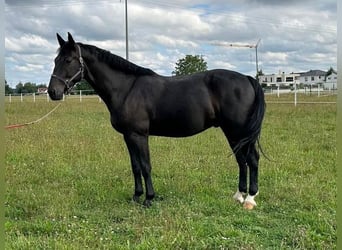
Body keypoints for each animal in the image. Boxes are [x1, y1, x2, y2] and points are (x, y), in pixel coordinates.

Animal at [48, 32, 266, 209]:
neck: (126, 89)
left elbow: (146, 166)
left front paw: (149, 198)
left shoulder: (139, 135)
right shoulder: (128, 136)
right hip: (233, 133)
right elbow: (135, 166)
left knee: (252, 159)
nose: (53, 92)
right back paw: (239, 196)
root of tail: (247, 78)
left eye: (68, 60)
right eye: (55, 59)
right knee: (241, 160)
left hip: (238, 131)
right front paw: (136, 196)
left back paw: (249, 199)